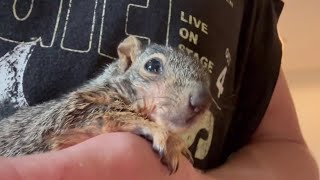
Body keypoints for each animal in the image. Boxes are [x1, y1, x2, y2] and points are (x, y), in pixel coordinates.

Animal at [0, 35, 212, 174]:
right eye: (152, 66)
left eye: (207, 78)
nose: (201, 100)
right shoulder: (62, 117)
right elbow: (106, 113)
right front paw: (155, 129)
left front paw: (176, 142)